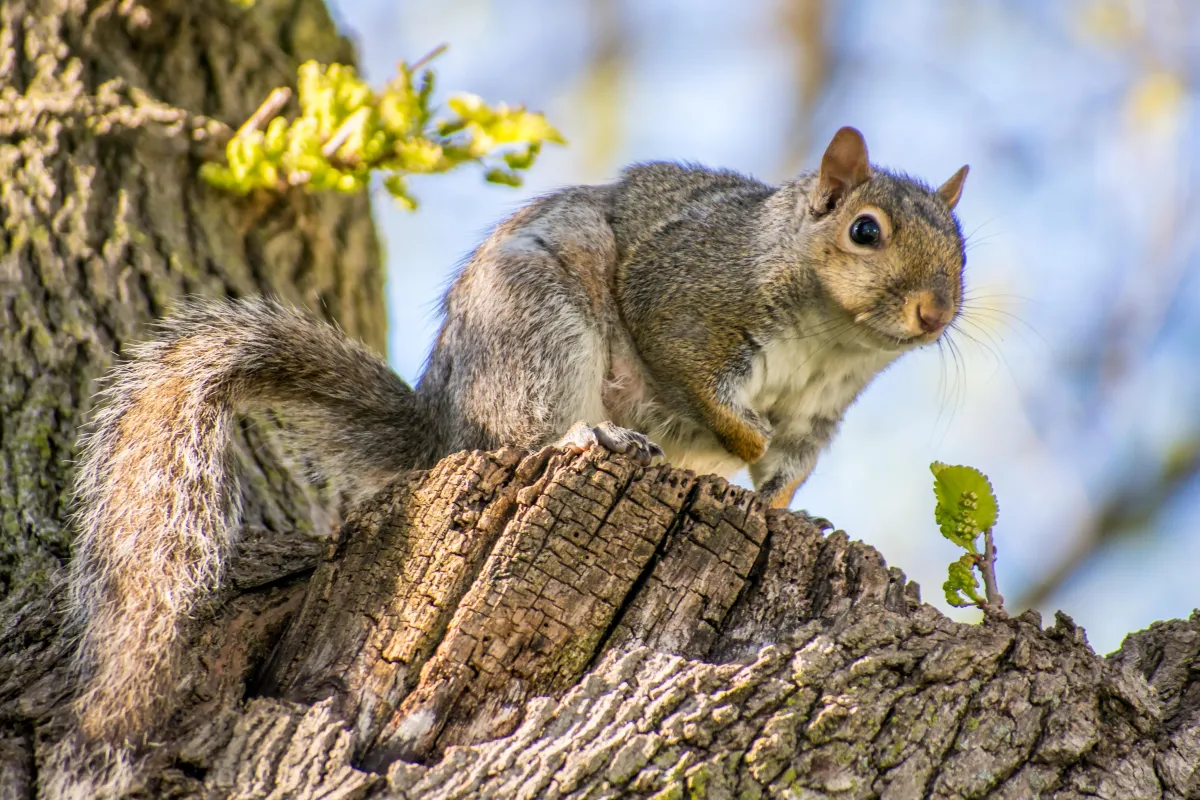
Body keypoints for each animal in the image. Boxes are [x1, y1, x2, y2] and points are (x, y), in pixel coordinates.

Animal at [65, 125, 964, 743]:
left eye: (960, 251)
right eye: (865, 230)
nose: (936, 312)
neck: (831, 341)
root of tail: (445, 424)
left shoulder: (817, 420)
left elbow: (785, 473)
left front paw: (793, 513)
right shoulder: (689, 300)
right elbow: (703, 390)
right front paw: (733, 449)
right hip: (538, 331)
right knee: (519, 437)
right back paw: (590, 440)